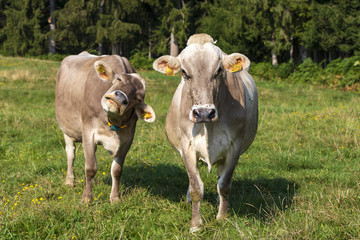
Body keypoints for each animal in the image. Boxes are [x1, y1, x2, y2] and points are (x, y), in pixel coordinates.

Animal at [55, 52, 155, 202]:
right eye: (118, 79)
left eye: (138, 98)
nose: (119, 98)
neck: (113, 124)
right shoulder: (88, 132)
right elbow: (90, 168)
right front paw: (87, 198)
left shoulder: (127, 139)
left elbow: (117, 170)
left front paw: (115, 198)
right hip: (67, 129)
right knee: (70, 154)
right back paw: (69, 181)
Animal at [153, 34, 258, 232]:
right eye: (184, 72)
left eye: (218, 71)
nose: (203, 113)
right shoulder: (187, 146)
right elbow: (196, 187)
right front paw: (195, 224)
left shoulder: (234, 147)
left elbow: (224, 185)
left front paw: (222, 218)